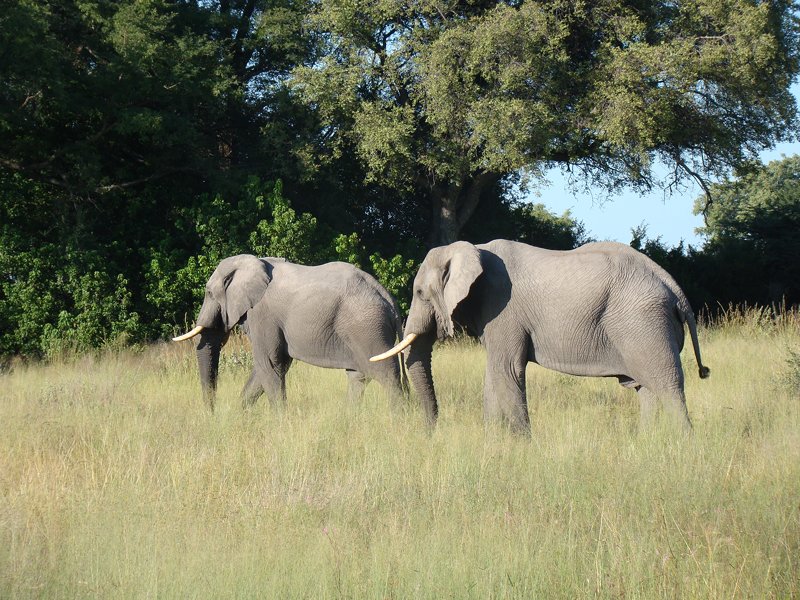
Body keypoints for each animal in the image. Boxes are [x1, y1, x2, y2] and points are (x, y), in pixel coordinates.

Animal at [172, 253, 404, 412]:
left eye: (209, 293)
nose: (212, 413)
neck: (251, 262)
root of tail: (388, 298)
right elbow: (270, 367)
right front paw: (242, 414)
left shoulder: (262, 315)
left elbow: (269, 364)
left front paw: (279, 421)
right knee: (358, 376)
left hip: (366, 326)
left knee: (386, 374)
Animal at [372, 237, 708, 434]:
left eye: (419, 293)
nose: (429, 432)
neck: (471, 248)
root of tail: (674, 287)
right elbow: (494, 376)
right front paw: (494, 441)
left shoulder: (503, 309)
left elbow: (506, 370)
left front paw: (522, 444)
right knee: (646, 389)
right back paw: (648, 441)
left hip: (644, 323)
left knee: (667, 384)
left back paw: (682, 444)